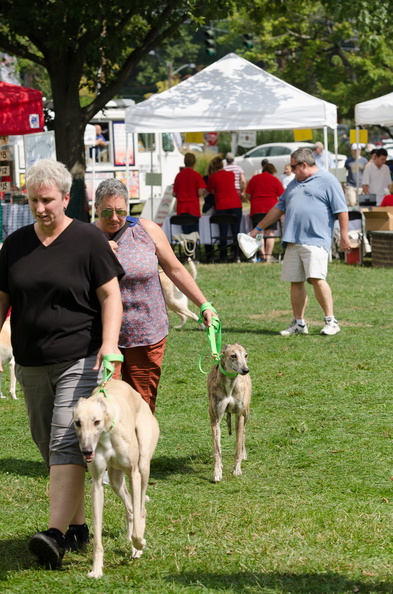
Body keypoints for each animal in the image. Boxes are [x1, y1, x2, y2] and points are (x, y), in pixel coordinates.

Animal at [72, 376, 158, 576]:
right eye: (78, 422)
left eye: (96, 421)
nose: (86, 451)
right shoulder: (97, 483)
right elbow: (97, 535)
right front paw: (96, 569)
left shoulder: (133, 474)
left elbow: (138, 525)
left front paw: (139, 543)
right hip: (114, 479)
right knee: (130, 507)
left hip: (143, 465)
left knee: (141, 508)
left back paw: (137, 546)